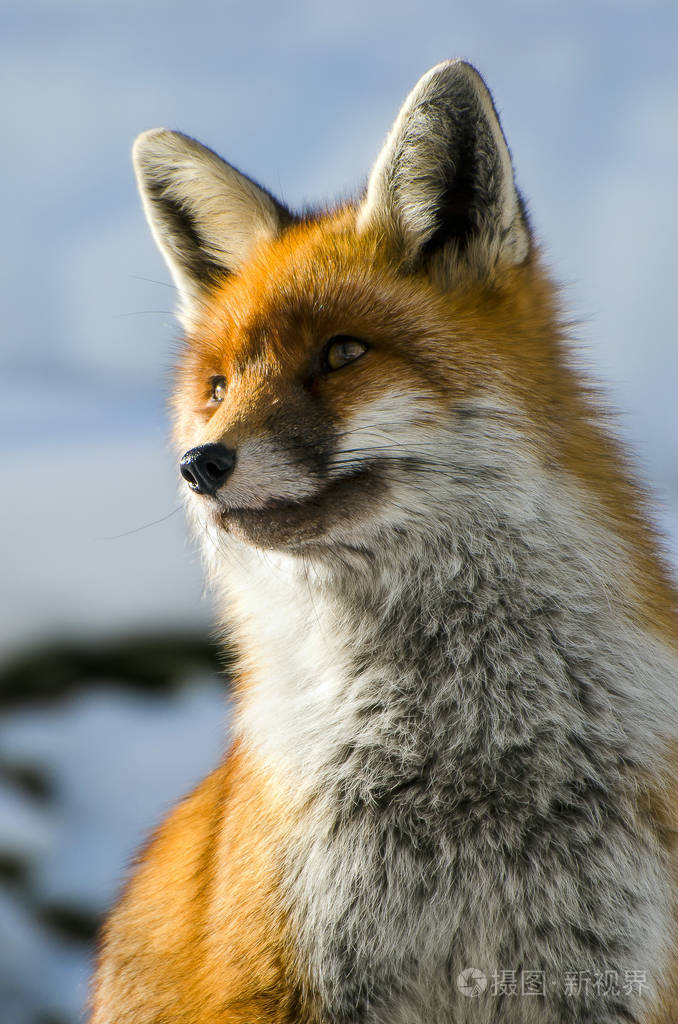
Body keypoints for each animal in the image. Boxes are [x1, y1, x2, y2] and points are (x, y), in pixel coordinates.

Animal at [91, 61, 678, 1024]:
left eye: (341, 355)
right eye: (217, 387)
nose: (200, 466)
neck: (467, 763)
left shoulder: (608, 975)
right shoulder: (285, 977)